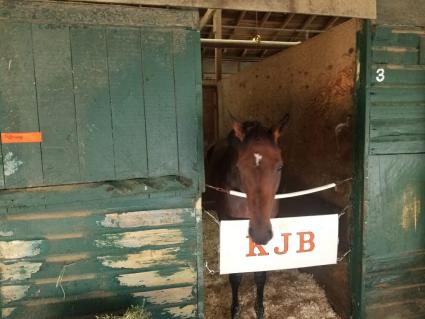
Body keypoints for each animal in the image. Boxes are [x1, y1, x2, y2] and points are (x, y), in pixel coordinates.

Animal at [204, 114, 290, 319]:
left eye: (279, 166)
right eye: (239, 167)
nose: (260, 234)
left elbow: (260, 274)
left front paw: (259, 309)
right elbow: (236, 275)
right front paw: (235, 310)